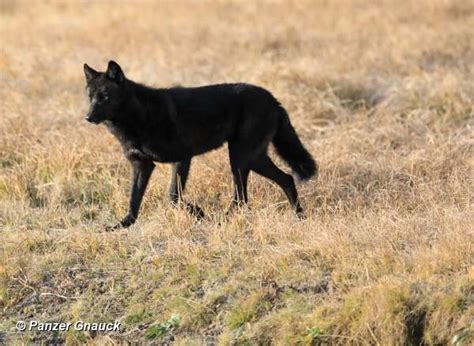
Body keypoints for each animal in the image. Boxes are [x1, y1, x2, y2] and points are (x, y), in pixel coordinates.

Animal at [83, 61, 316, 230]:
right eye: (90, 97)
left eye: (105, 97)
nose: (88, 117)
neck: (138, 117)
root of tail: (273, 99)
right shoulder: (142, 166)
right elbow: (133, 200)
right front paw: (123, 225)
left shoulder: (182, 158)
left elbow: (173, 197)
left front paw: (198, 213)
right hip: (249, 159)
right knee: (275, 184)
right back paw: (296, 216)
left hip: (241, 158)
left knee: (259, 190)